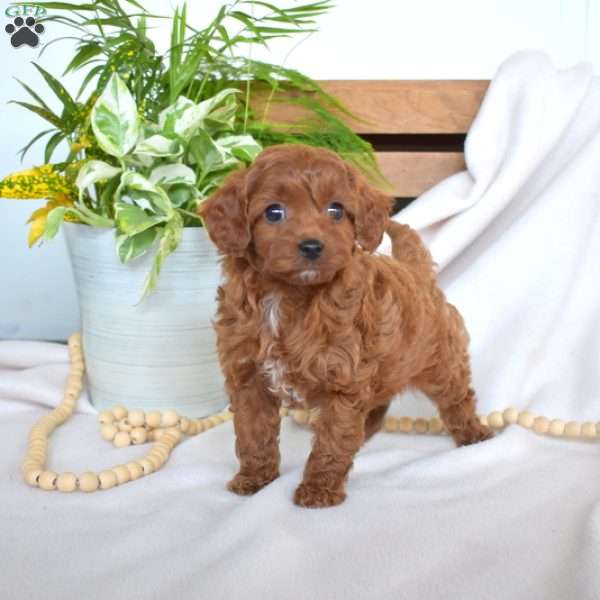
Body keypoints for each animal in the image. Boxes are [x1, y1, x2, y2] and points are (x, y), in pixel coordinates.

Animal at [202, 143, 492, 508]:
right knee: (376, 409)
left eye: (336, 210)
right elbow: (254, 434)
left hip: (441, 362)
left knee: (457, 397)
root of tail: (418, 275)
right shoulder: (249, 378)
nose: (312, 245)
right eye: (274, 212)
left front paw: (318, 490)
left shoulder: (343, 378)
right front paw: (254, 478)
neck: (287, 297)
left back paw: (473, 434)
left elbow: (333, 438)